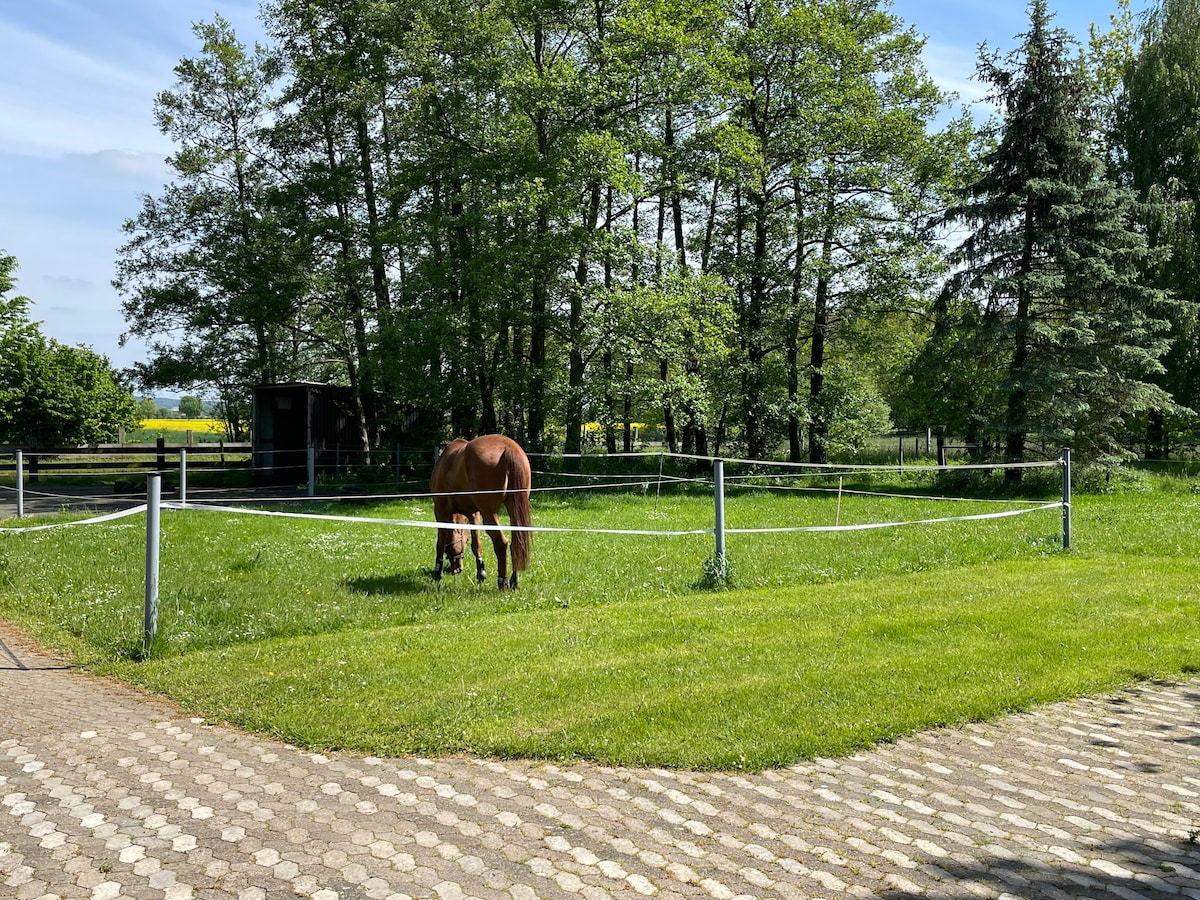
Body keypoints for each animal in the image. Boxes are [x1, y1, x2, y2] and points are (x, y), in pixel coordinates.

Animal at [427, 436, 530, 592]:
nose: (456, 569)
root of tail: (508, 447)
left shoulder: (440, 509)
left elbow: (440, 542)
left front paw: (437, 573)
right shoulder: (474, 514)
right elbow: (476, 544)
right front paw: (481, 573)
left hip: (489, 513)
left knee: (501, 543)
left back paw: (502, 581)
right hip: (513, 509)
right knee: (516, 543)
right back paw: (515, 581)